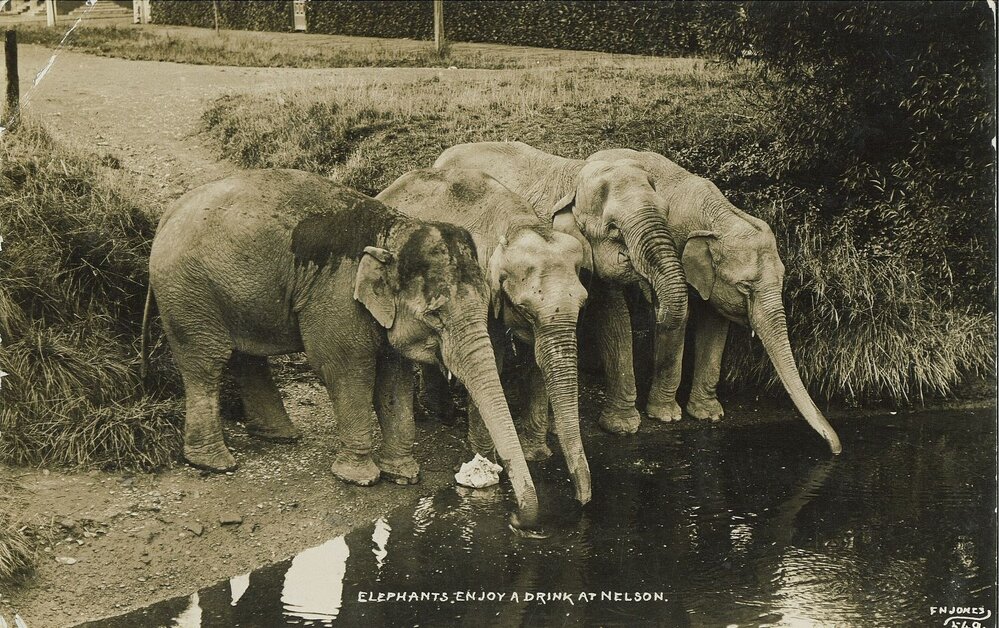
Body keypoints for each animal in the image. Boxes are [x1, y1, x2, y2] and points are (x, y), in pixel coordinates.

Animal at [140, 168, 541, 527]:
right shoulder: (337, 297)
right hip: (188, 292)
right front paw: (359, 477)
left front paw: (403, 475)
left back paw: (280, 436)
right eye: (435, 314)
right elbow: (346, 369)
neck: (394, 232)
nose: (516, 521)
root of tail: (168, 214)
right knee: (207, 363)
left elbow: (394, 378)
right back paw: (215, 462)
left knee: (246, 357)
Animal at [377, 167, 593, 504]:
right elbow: (493, 359)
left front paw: (536, 455)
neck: (518, 224)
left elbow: (537, 361)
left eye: (583, 304)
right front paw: (486, 460)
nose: (582, 502)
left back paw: (444, 414)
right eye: (524, 309)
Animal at [434, 141, 688, 436]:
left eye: (666, 212)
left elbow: (614, 318)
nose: (656, 308)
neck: (577, 176)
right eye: (613, 228)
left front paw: (627, 425)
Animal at [588, 148, 842, 454]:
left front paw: (709, 415)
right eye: (745, 287)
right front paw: (666, 416)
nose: (836, 451)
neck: (719, 216)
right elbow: (680, 314)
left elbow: (716, 323)